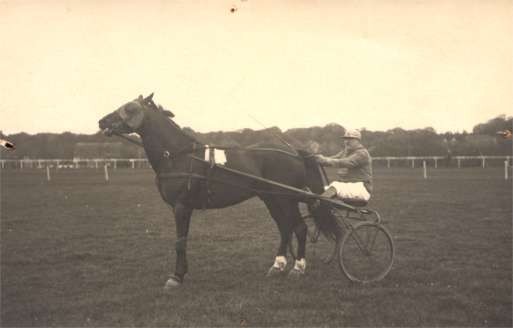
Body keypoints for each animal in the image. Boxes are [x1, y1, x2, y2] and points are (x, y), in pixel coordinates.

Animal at [99, 93, 340, 288]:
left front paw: (177, 276)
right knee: (285, 228)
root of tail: (295, 152)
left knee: (299, 228)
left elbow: (180, 241)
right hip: (272, 199)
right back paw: (277, 265)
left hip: (285, 199)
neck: (180, 156)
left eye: (130, 108)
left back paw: (298, 268)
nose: (102, 121)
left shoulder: (181, 207)